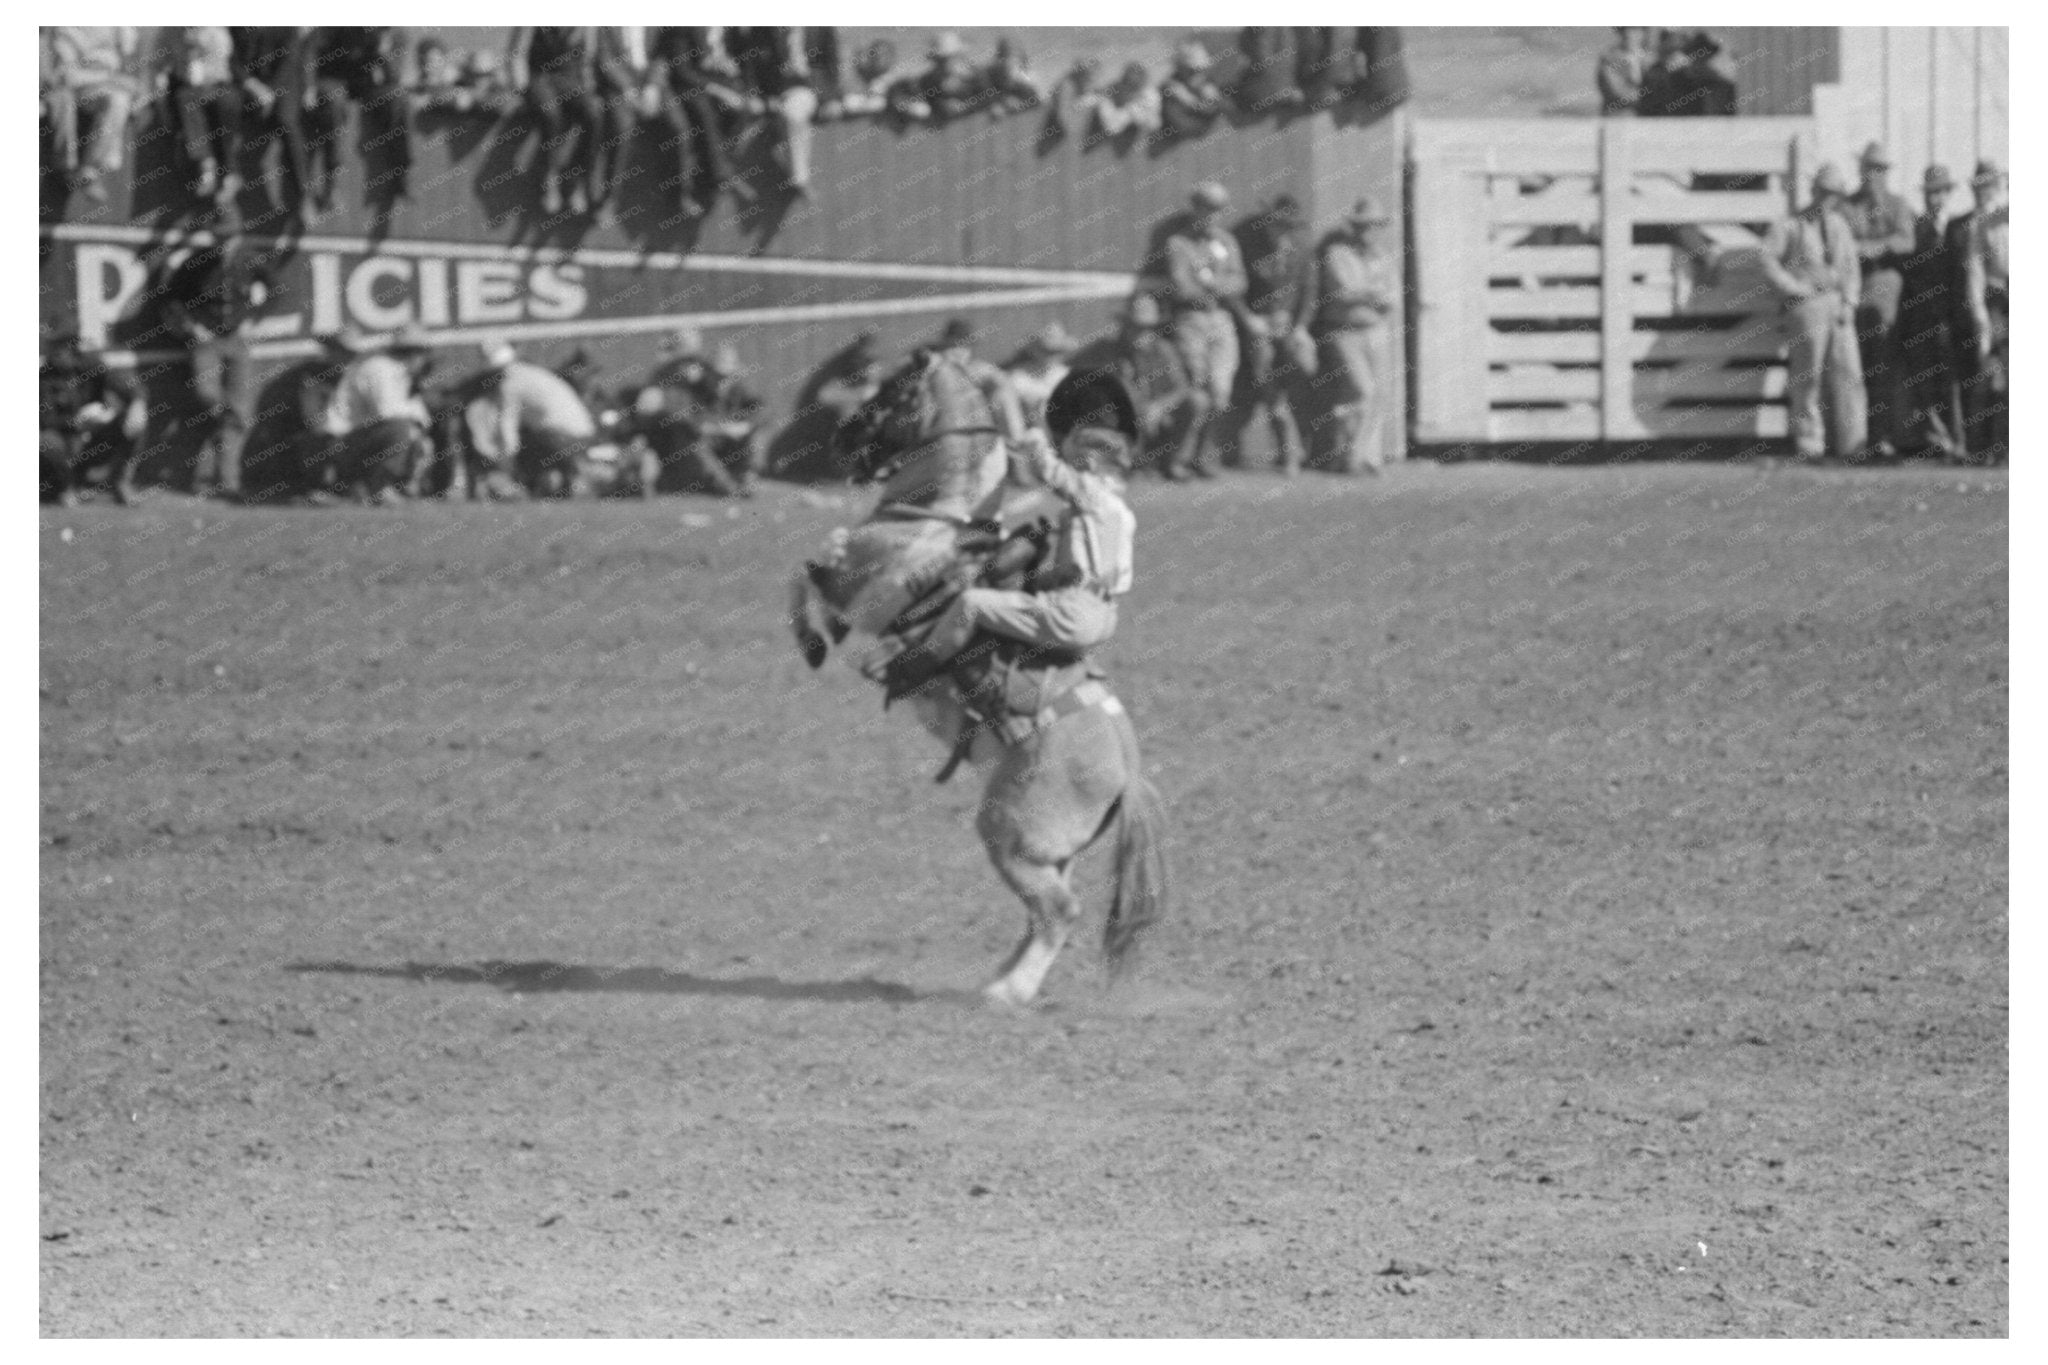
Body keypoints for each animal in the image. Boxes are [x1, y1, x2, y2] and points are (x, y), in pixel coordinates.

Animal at [786, 349, 1171, 1015]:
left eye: (893, 388)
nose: (841, 438)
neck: (943, 516)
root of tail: (1128, 777)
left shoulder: (858, 584)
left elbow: (805, 573)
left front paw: (813, 639)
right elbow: (809, 573)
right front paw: (819, 634)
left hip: (1008, 836)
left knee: (1058, 913)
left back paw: (1005, 992)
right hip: (1049, 854)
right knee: (1042, 915)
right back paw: (1001, 978)